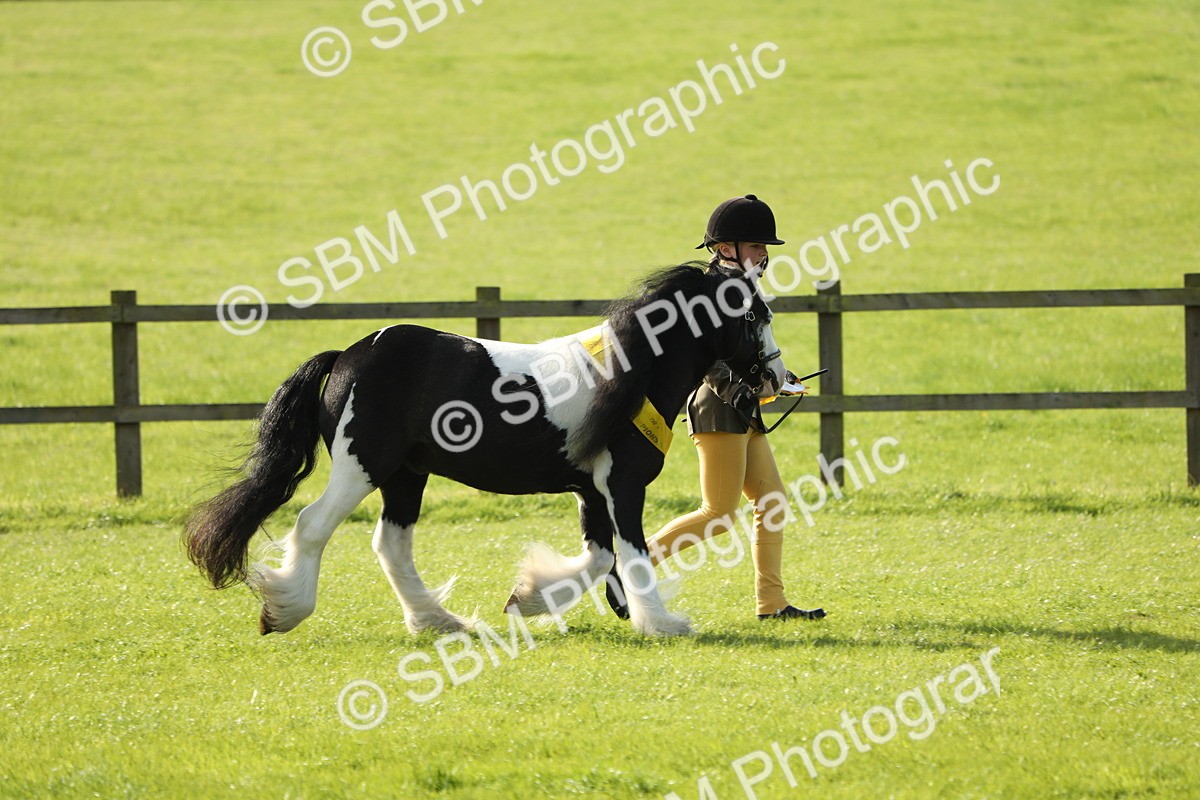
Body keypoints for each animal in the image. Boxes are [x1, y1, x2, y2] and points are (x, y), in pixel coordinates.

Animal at [184, 262, 786, 637]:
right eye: (754, 314)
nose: (777, 377)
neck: (630, 374)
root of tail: (348, 356)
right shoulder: (622, 485)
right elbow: (632, 553)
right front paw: (663, 623)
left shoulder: (591, 491)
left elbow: (599, 557)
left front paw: (528, 597)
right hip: (364, 467)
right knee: (312, 525)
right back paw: (283, 611)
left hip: (406, 476)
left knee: (391, 545)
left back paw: (440, 621)